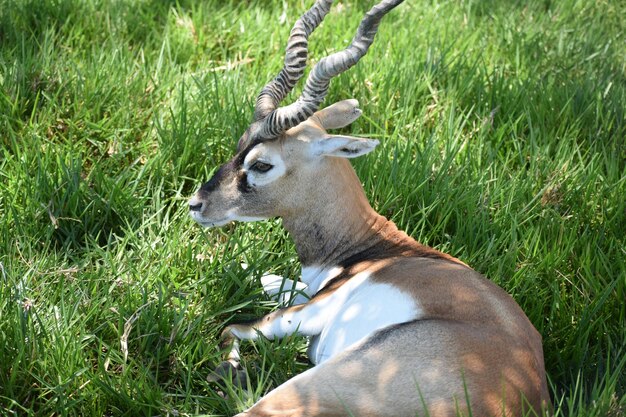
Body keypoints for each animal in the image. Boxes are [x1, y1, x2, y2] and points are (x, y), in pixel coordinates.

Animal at [188, 0, 548, 416]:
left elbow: (232, 328)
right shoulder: (307, 289)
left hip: (315, 381)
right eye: (240, 145)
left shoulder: (311, 310)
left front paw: (230, 369)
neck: (374, 247)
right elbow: (265, 276)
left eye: (261, 164)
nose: (196, 204)